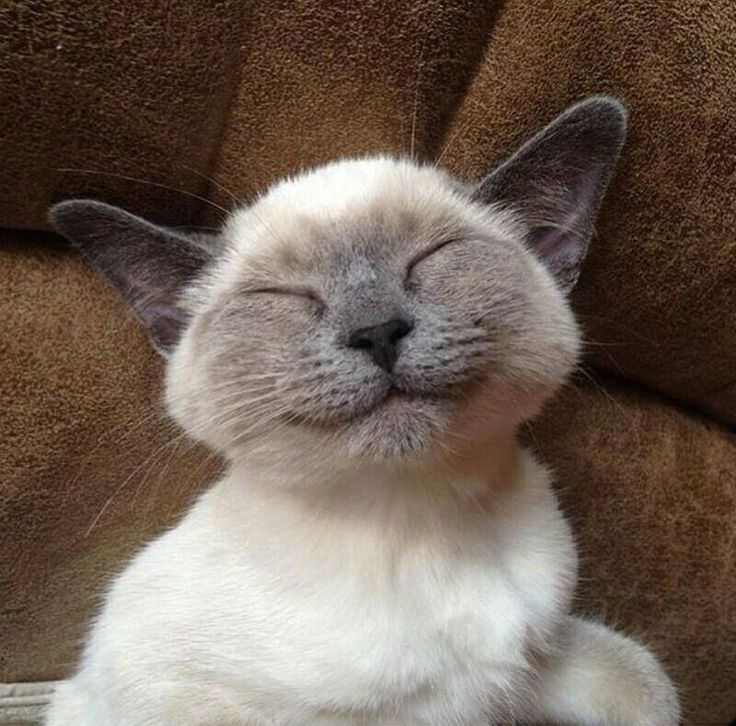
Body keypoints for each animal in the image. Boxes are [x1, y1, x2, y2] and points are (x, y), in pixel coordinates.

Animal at [44, 98, 680, 726]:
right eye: (287, 296)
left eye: (431, 259)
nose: (377, 331)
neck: (422, 513)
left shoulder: (538, 663)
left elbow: (651, 684)